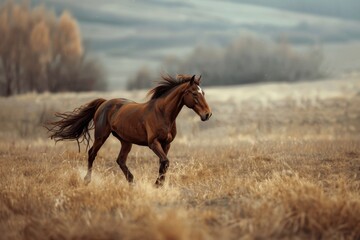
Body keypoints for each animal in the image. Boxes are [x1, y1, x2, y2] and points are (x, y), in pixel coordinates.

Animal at [46, 74, 212, 187]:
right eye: (194, 93)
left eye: (203, 93)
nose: (207, 114)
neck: (162, 113)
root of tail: (104, 102)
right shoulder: (153, 143)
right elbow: (165, 161)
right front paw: (157, 184)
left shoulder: (166, 144)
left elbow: (163, 163)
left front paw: (160, 184)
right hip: (101, 136)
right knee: (92, 153)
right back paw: (87, 180)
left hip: (125, 141)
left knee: (120, 160)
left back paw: (132, 181)